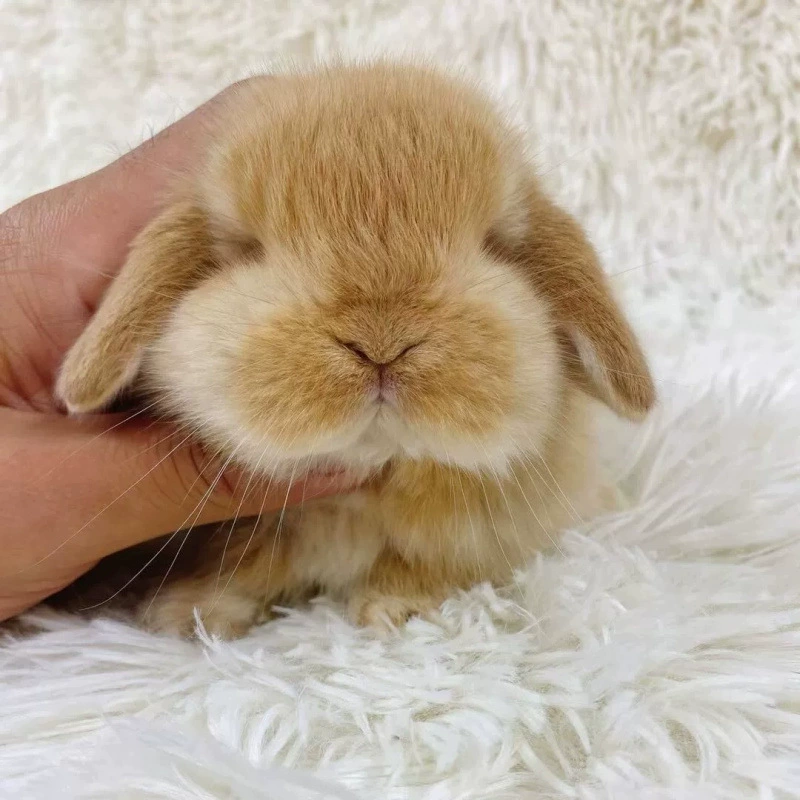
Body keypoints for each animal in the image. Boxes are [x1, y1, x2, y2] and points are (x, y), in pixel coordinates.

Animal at [56, 61, 655, 638]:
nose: (381, 342)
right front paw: (190, 616)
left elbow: (424, 565)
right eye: (248, 249)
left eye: (494, 245)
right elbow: (236, 567)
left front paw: (399, 612)